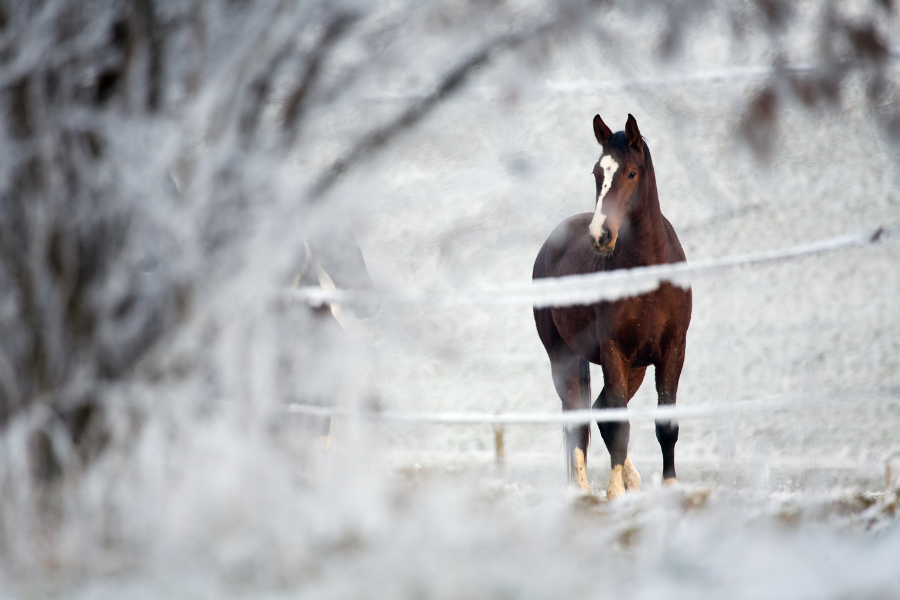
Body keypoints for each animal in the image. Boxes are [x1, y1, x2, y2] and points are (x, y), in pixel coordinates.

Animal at [532, 115, 692, 500]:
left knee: (599, 409)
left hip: (634, 368)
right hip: (562, 358)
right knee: (578, 415)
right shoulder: (613, 350)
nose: (601, 235)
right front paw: (614, 492)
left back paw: (631, 478)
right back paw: (583, 489)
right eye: (596, 173)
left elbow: (665, 423)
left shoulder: (672, 350)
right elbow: (619, 423)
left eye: (632, 173)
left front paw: (668, 486)